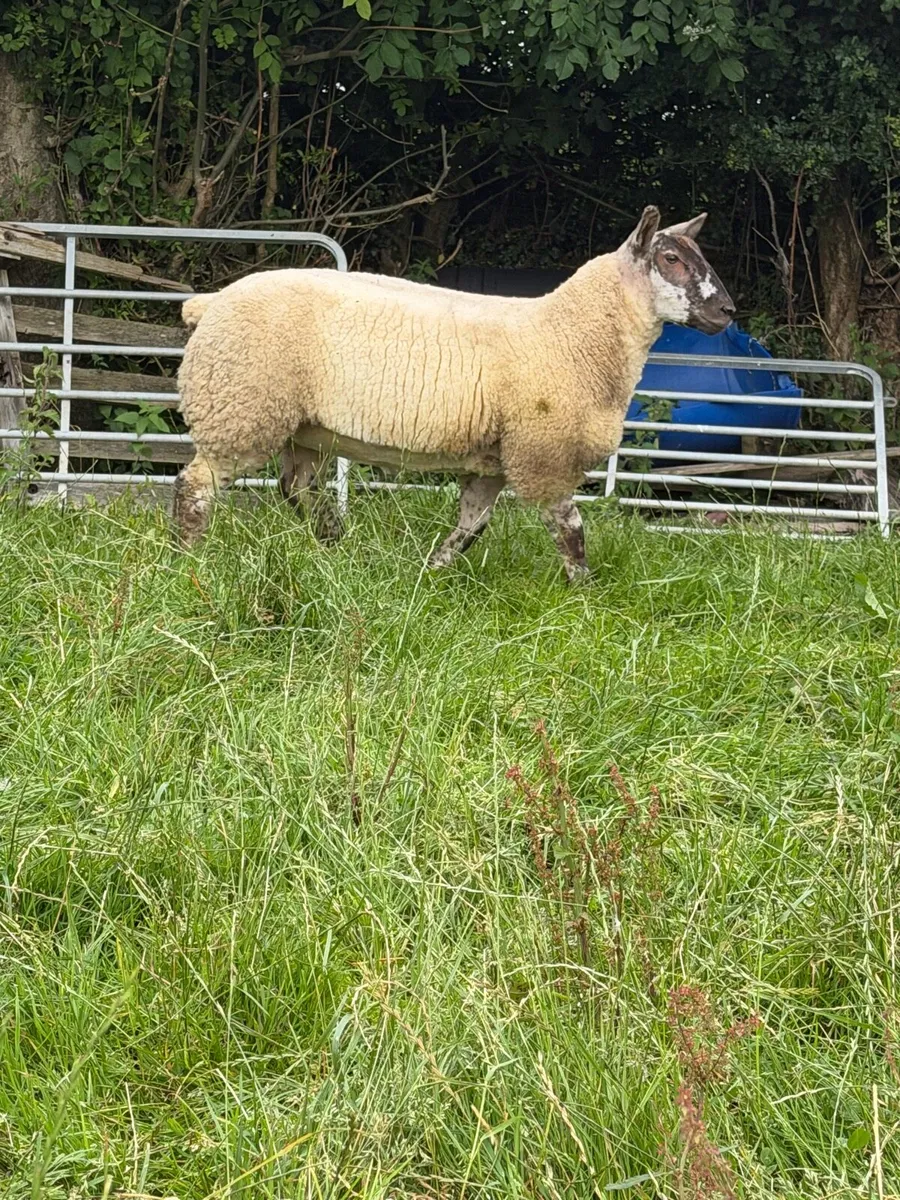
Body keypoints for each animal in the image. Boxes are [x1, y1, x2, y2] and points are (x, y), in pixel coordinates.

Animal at [172, 206, 734, 580]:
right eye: (670, 258)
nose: (727, 312)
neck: (572, 332)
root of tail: (210, 303)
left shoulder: (495, 463)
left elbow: (472, 526)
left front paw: (432, 572)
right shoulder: (544, 453)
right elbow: (570, 529)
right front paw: (584, 595)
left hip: (300, 426)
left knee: (297, 487)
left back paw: (334, 544)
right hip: (240, 408)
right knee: (195, 486)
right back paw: (188, 561)